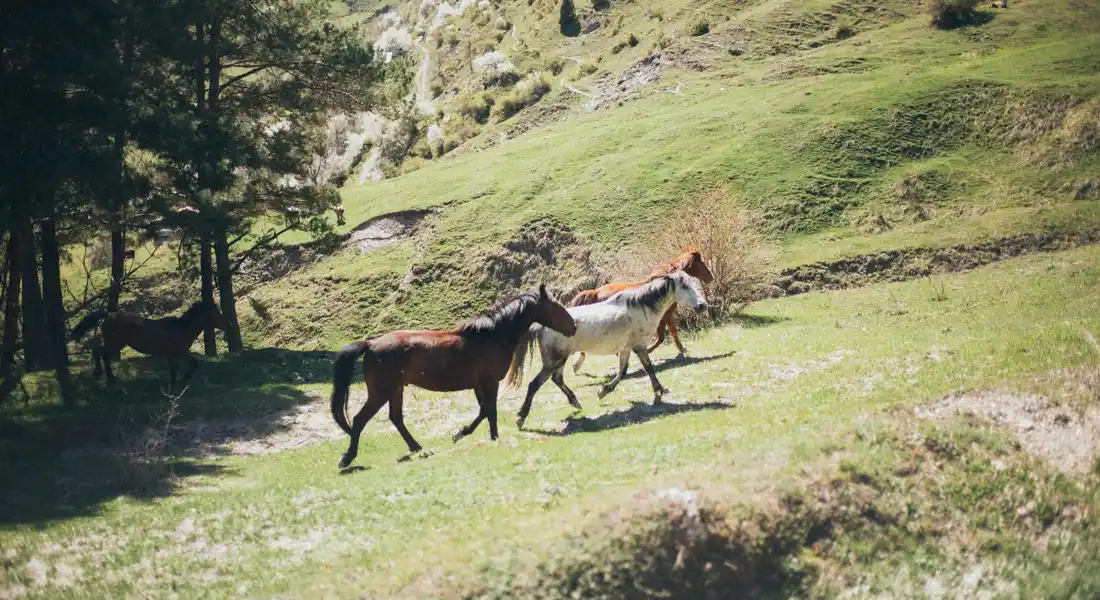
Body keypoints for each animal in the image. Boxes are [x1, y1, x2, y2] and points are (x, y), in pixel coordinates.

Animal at [69, 299, 230, 391]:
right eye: (215, 312)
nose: (227, 325)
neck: (181, 328)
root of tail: (108, 316)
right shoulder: (178, 353)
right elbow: (192, 364)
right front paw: (182, 380)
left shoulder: (173, 355)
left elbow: (175, 370)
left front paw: (175, 384)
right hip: (115, 343)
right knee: (102, 354)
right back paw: (107, 377)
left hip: (116, 344)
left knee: (99, 352)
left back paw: (107, 376)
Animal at [329, 283, 576, 469]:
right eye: (555, 306)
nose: (573, 326)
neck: (492, 337)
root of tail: (370, 344)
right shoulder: (489, 382)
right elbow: (490, 411)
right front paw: (486, 437)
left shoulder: (479, 385)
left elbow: (484, 411)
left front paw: (462, 433)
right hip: (381, 392)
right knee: (360, 419)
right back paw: (347, 458)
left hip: (396, 390)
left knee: (396, 418)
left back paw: (416, 447)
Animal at [505, 271, 708, 430]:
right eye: (684, 286)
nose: (702, 306)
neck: (641, 307)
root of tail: (540, 326)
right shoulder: (639, 345)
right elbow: (648, 368)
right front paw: (660, 390)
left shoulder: (626, 348)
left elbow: (623, 371)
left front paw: (604, 391)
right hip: (554, 360)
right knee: (535, 384)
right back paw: (521, 417)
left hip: (559, 360)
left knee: (557, 379)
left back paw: (575, 403)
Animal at [568, 246, 713, 374]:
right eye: (701, 263)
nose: (711, 277)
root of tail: (596, 292)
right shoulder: (664, 316)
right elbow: (662, 336)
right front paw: (650, 350)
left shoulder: (665, 315)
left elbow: (671, 332)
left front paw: (681, 349)